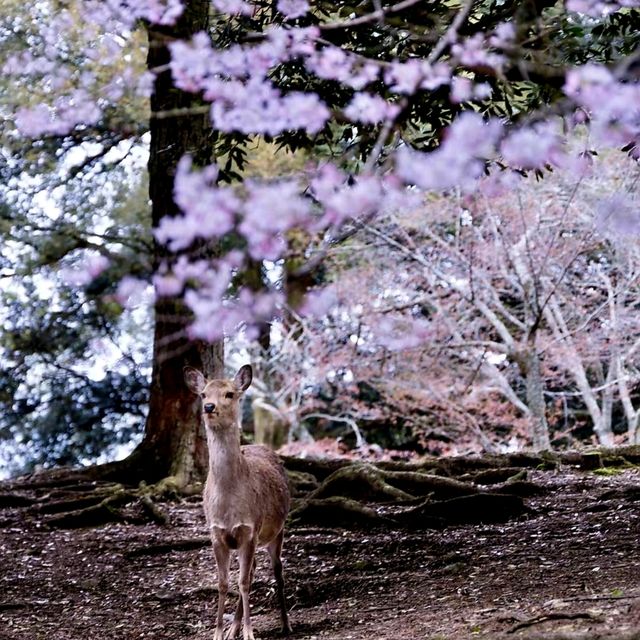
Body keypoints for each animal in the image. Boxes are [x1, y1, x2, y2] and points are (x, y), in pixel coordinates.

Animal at [185, 364, 292, 640]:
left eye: (230, 394)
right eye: (203, 393)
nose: (209, 407)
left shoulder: (250, 529)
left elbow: (243, 582)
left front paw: (250, 633)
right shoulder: (216, 534)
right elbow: (223, 583)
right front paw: (218, 633)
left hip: (278, 530)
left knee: (277, 571)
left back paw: (286, 624)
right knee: (252, 571)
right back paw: (233, 628)